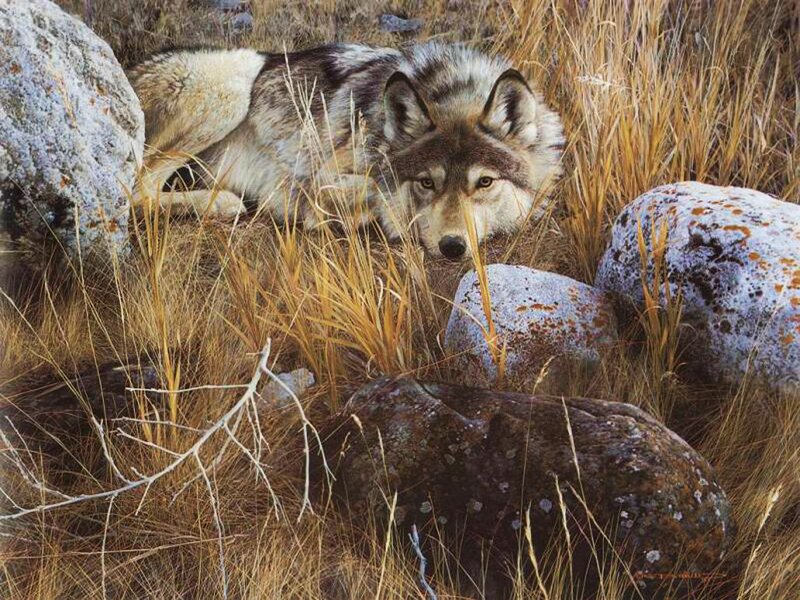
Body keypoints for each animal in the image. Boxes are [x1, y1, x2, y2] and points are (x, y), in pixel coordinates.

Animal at [128, 42, 564, 259]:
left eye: (485, 182)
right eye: (426, 183)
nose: (452, 247)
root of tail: (132, 68)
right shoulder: (320, 178)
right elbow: (377, 191)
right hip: (236, 81)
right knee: (136, 189)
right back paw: (222, 203)